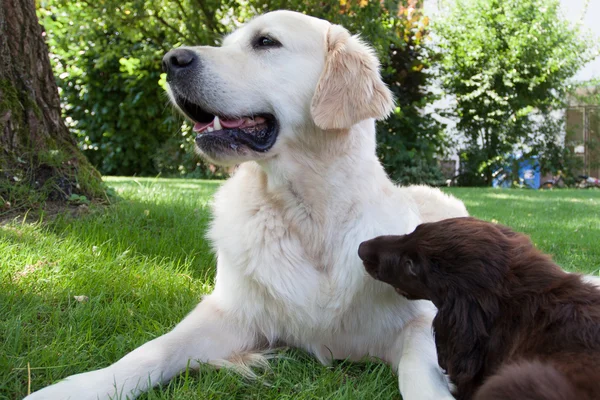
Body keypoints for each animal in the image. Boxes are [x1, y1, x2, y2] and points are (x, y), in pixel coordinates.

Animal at [24, 10, 468, 398]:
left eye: (266, 41)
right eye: (226, 43)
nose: (170, 60)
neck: (310, 215)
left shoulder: (418, 321)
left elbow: (418, 370)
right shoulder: (229, 312)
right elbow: (153, 349)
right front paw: (78, 387)